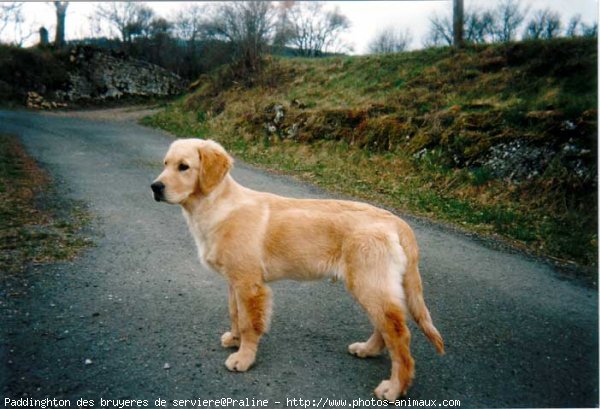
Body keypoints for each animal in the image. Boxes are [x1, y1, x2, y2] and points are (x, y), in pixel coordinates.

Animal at [150, 139, 442, 400]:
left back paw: (394, 388)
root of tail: (396, 221)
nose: (155, 187)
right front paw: (234, 339)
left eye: (184, 166)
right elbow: (234, 313)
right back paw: (367, 349)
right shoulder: (235, 281)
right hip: (372, 286)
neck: (216, 206)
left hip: (369, 284)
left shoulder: (249, 284)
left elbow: (248, 323)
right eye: (165, 164)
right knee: (386, 327)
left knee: (399, 335)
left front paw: (244, 358)